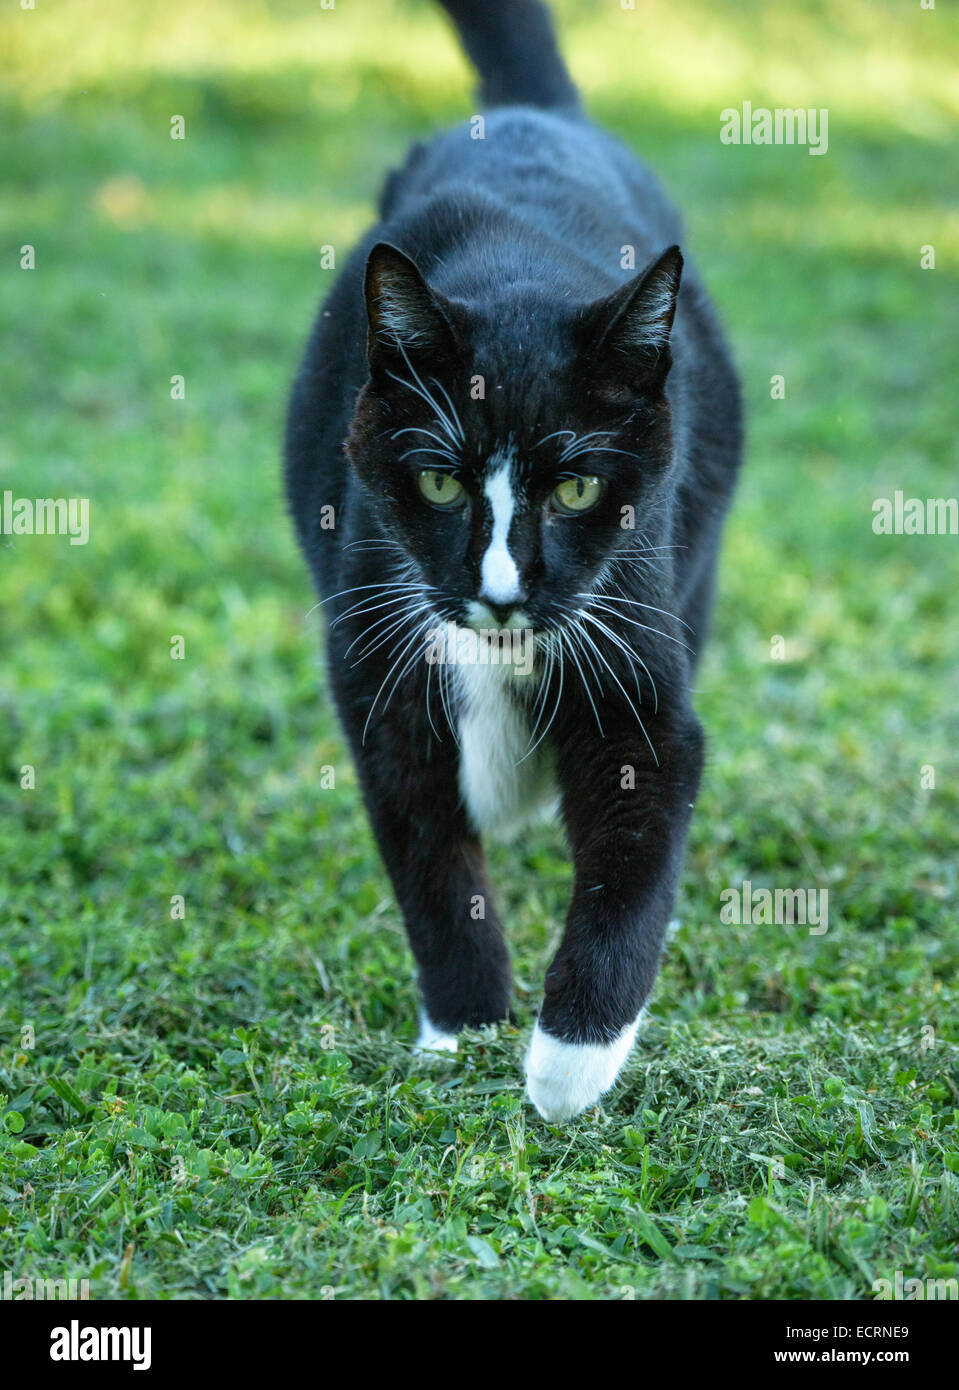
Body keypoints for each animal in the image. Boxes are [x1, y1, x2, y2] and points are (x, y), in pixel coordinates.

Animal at [283, 0, 739, 1123]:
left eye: (574, 490)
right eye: (441, 485)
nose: (499, 591)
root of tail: (538, 114)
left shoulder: (633, 641)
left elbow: (634, 850)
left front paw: (566, 1066)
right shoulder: (376, 652)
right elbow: (430, 857)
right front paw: (466, 1031)